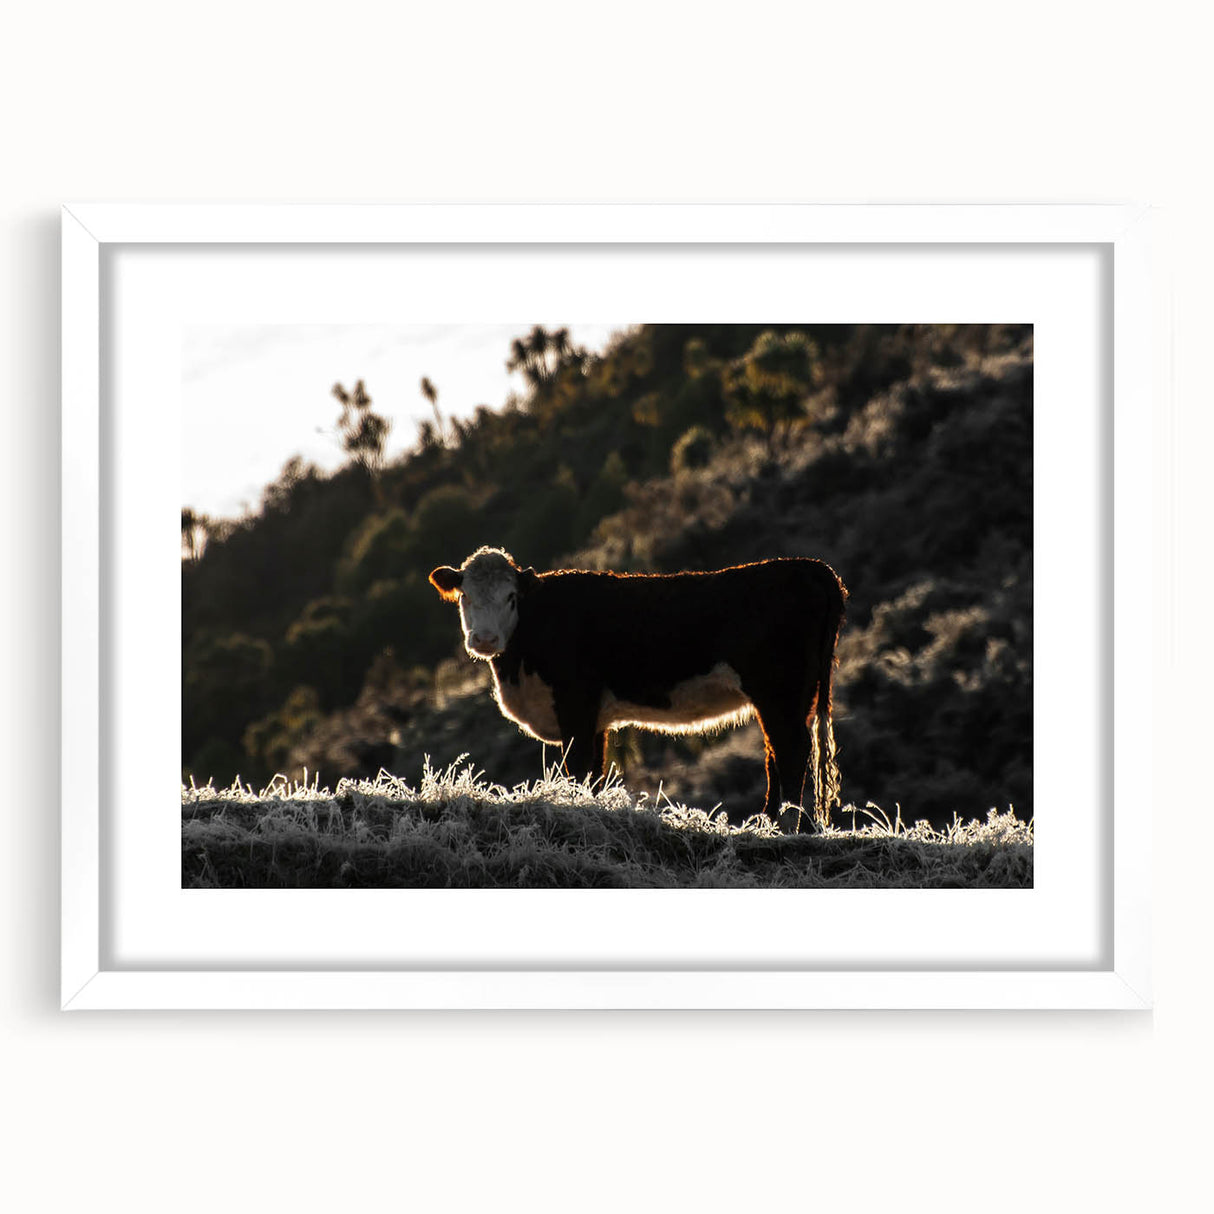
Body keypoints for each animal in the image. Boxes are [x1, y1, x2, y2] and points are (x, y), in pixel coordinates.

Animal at [428, 547, 847, 830]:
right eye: (465, 596)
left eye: (511, 597)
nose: (484, 639)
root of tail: (809, 566)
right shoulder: (595, 719)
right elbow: (595, 773)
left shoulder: (575, 705)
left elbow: (578, 768)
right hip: (791, 697)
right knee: (778, 752)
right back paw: (768, 824)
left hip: (779, 691)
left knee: (792, 751)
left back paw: (788, 826)